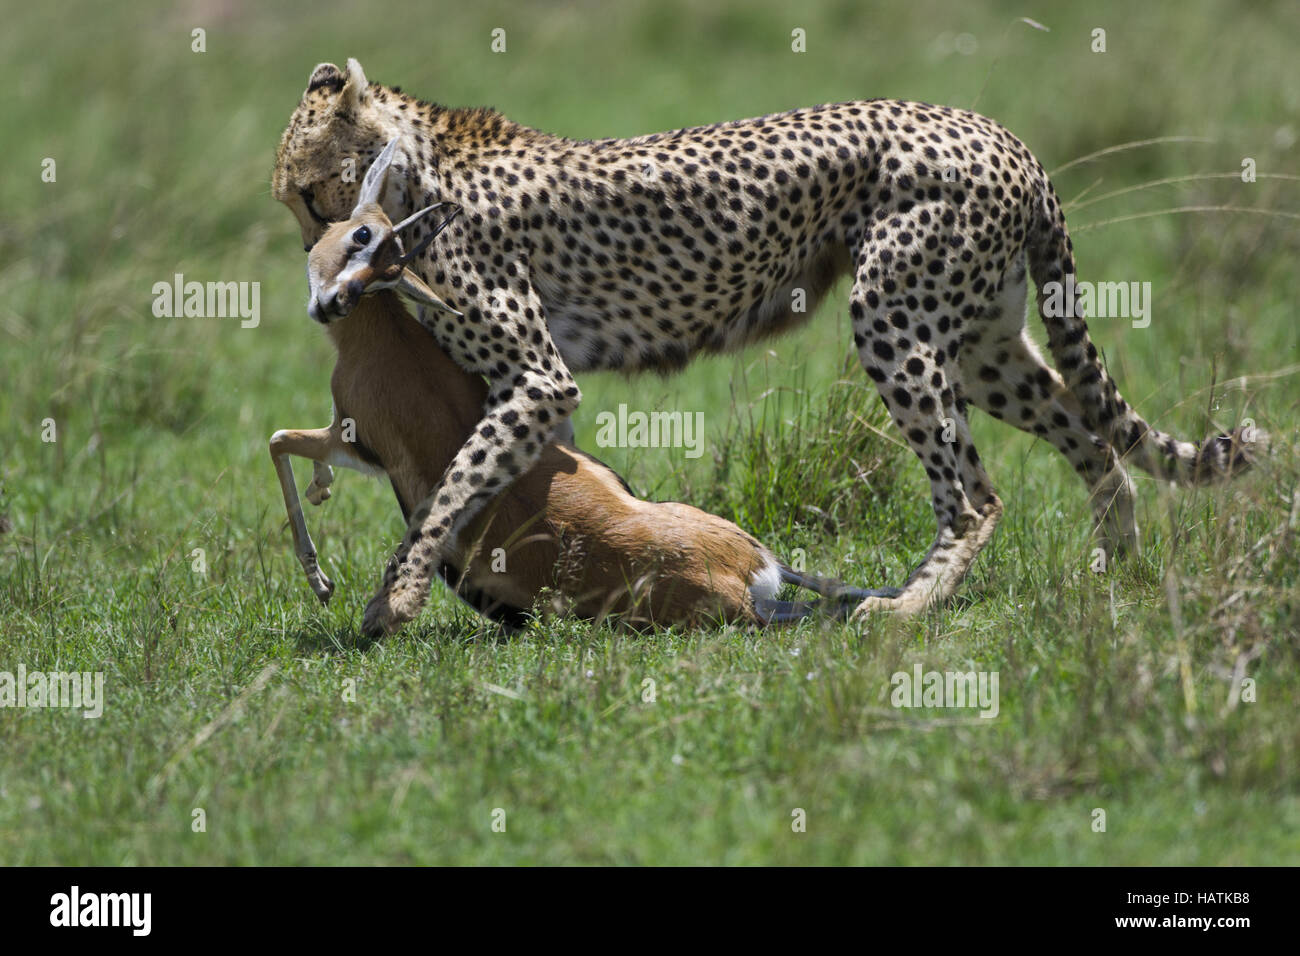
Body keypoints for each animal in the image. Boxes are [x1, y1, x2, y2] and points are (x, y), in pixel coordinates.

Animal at [273, 58, 1266, 638]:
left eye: (312, 196)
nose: (317, 280)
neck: (416, 168)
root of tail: (1000, 132)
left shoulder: (537, 378)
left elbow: (450, 486)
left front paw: (394, 598)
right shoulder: (513, 389)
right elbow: (485, 479)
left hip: (892, 316)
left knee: (977, 494)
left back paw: (904, 606)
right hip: (981, 340)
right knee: (1094, 439)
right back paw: (1115, 573)